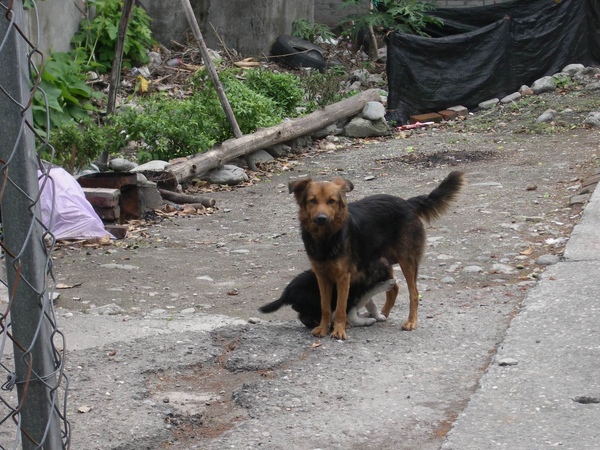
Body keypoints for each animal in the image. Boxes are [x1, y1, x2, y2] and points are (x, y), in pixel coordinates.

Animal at [258, 258, 394, 328]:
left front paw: (379, 316)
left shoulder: (364, 295)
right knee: (307, 316)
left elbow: (372, 305)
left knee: (304, 316)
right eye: (381, 268)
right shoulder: (351, 300)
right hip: (315, 301)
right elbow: (353, 317)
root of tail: (287, 291)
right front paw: (367, 322)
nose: (388, 262)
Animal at [288, 171, 466, 340]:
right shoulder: (322, 276)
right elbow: (325, 306)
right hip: (383, 261)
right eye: (312, 201)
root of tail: (407, 203)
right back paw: (383, 314)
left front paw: (339, 330)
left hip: (407, 260)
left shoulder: (343, 277)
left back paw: (411, 322)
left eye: (332, 201)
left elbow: (340, 308)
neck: (326, 239)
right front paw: (323, 328)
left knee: (414, 293)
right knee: (394, 288)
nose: (321, 218)